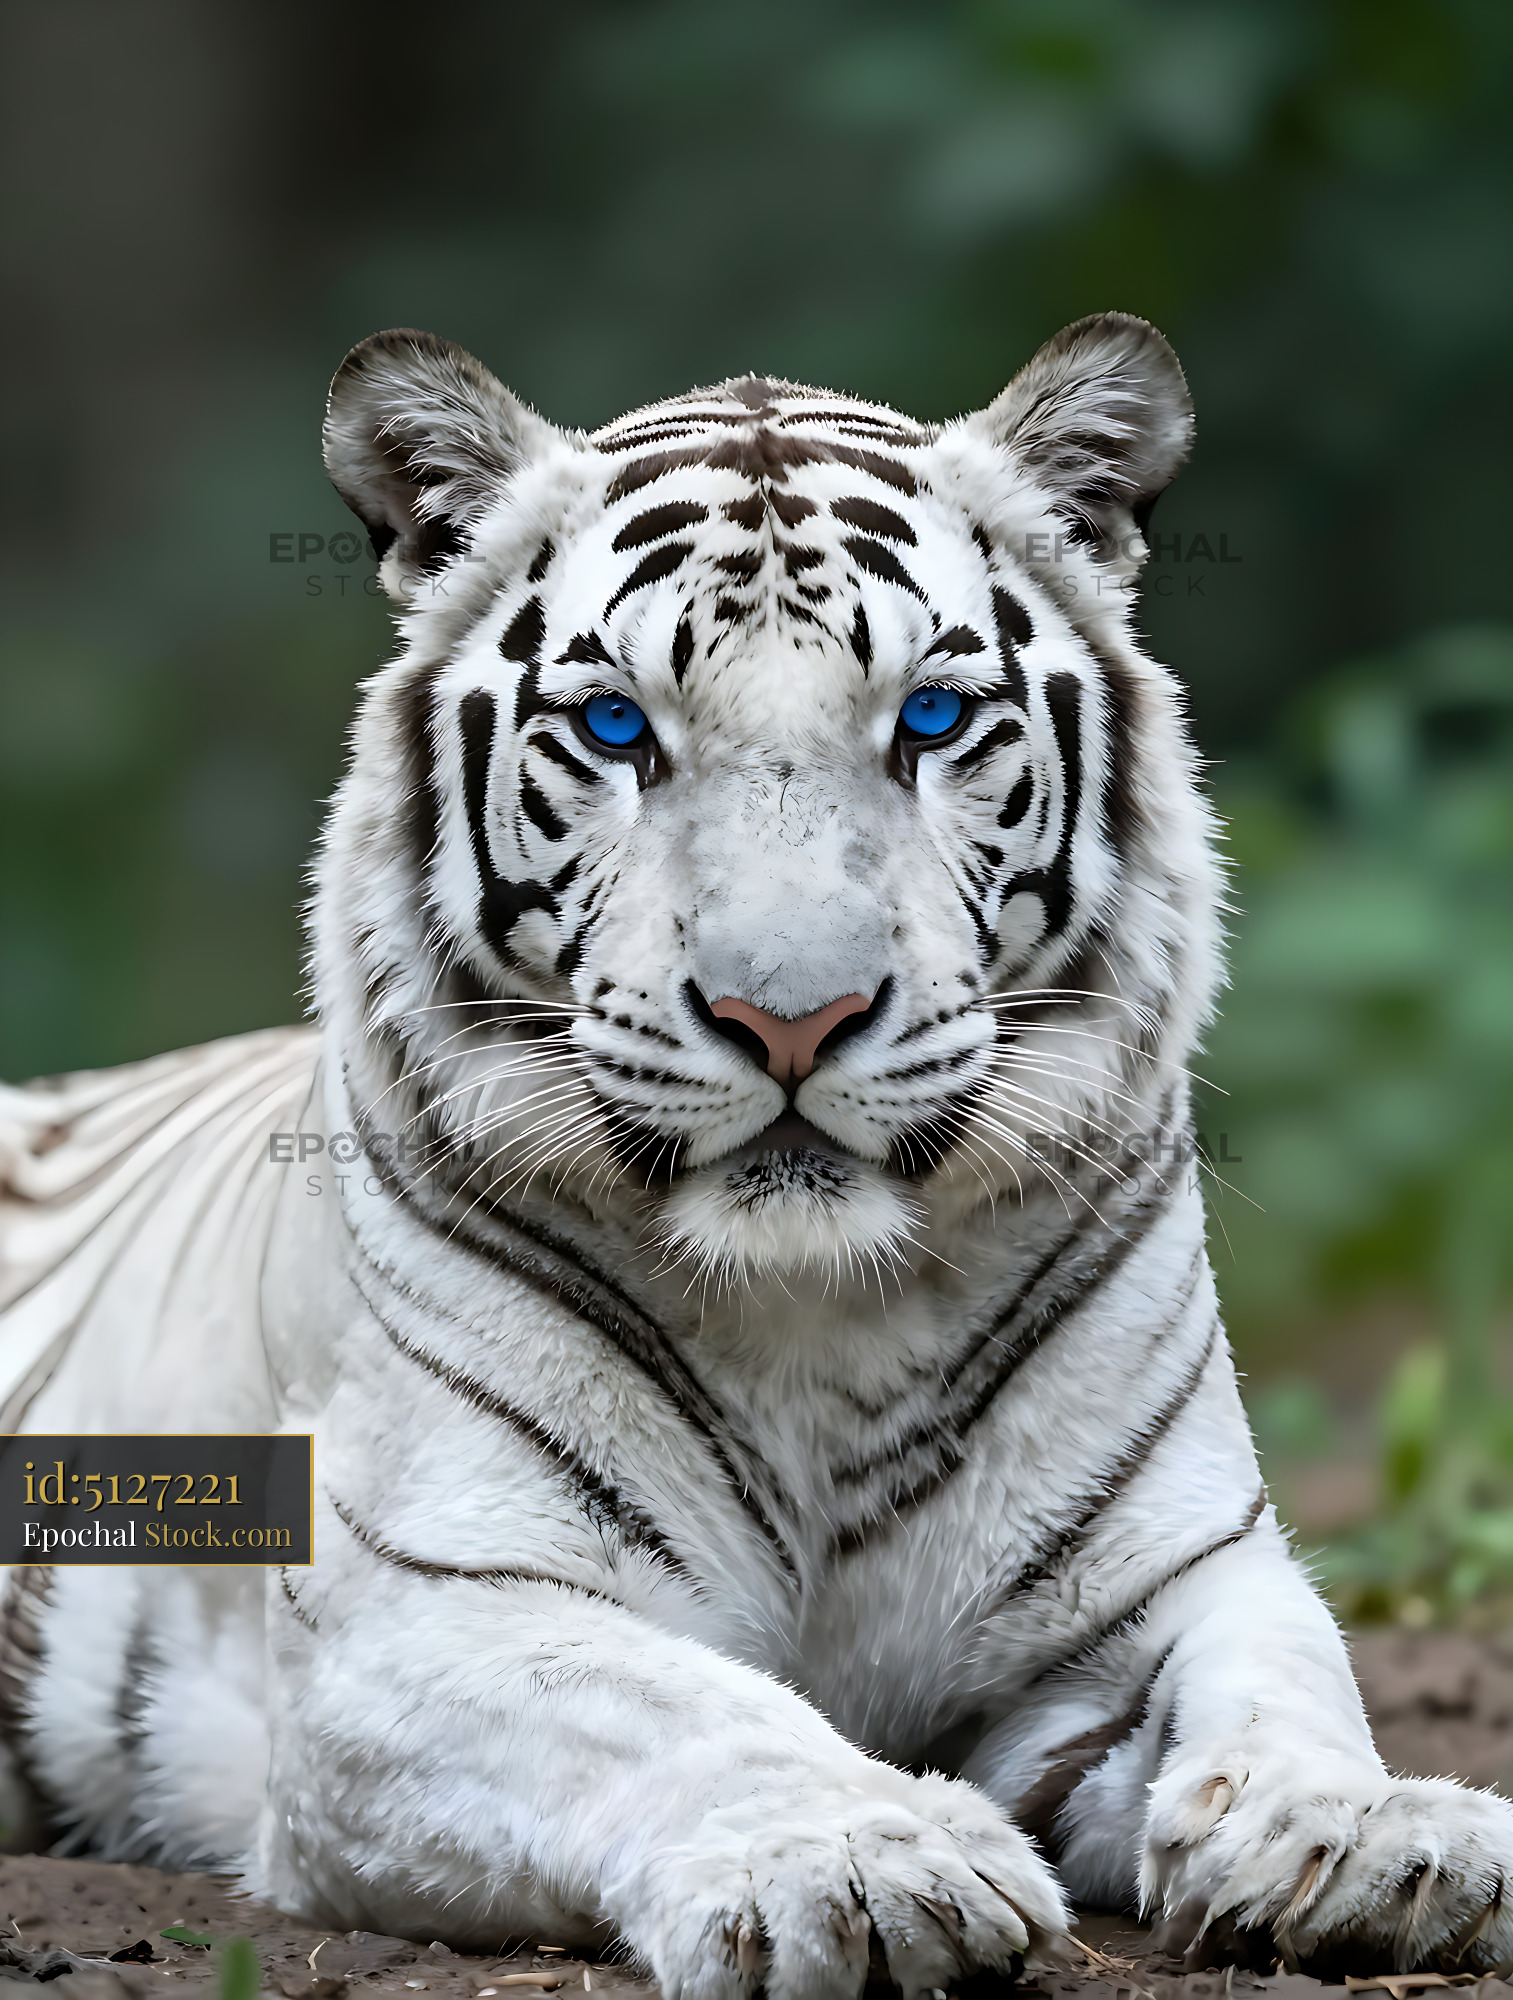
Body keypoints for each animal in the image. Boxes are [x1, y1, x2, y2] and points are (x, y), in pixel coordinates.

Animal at [2, 313, 1510, 1998]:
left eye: (929, 720)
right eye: (615, 729)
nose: (791, 1020)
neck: (818, 1317)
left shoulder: (1170, 1575)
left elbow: (1286, 1676)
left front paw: (1373, 1835)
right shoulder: (425, 1618)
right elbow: (689, 1709)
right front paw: (868, 1862)